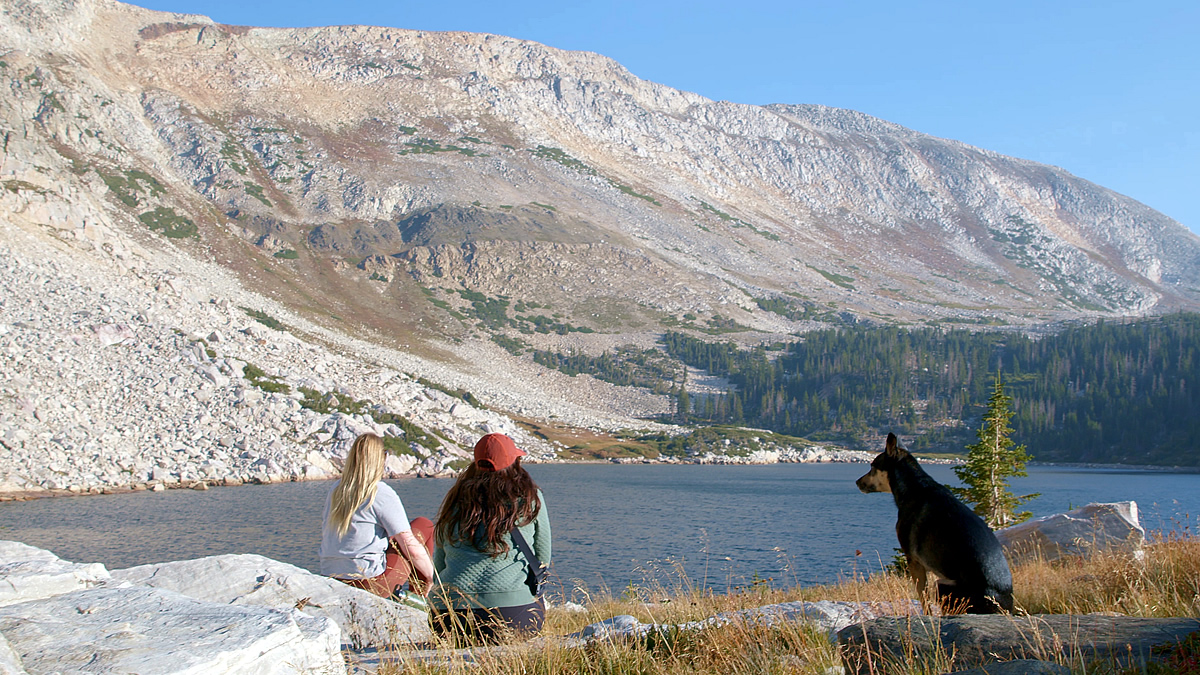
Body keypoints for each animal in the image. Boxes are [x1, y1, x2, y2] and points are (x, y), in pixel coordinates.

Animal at [854, 432, 1012, 612]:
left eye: (872, 467)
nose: (857, 482)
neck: (914, 486)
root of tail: (1001, 606)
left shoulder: (913, 560)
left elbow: (923, 596)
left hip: (941, 585)